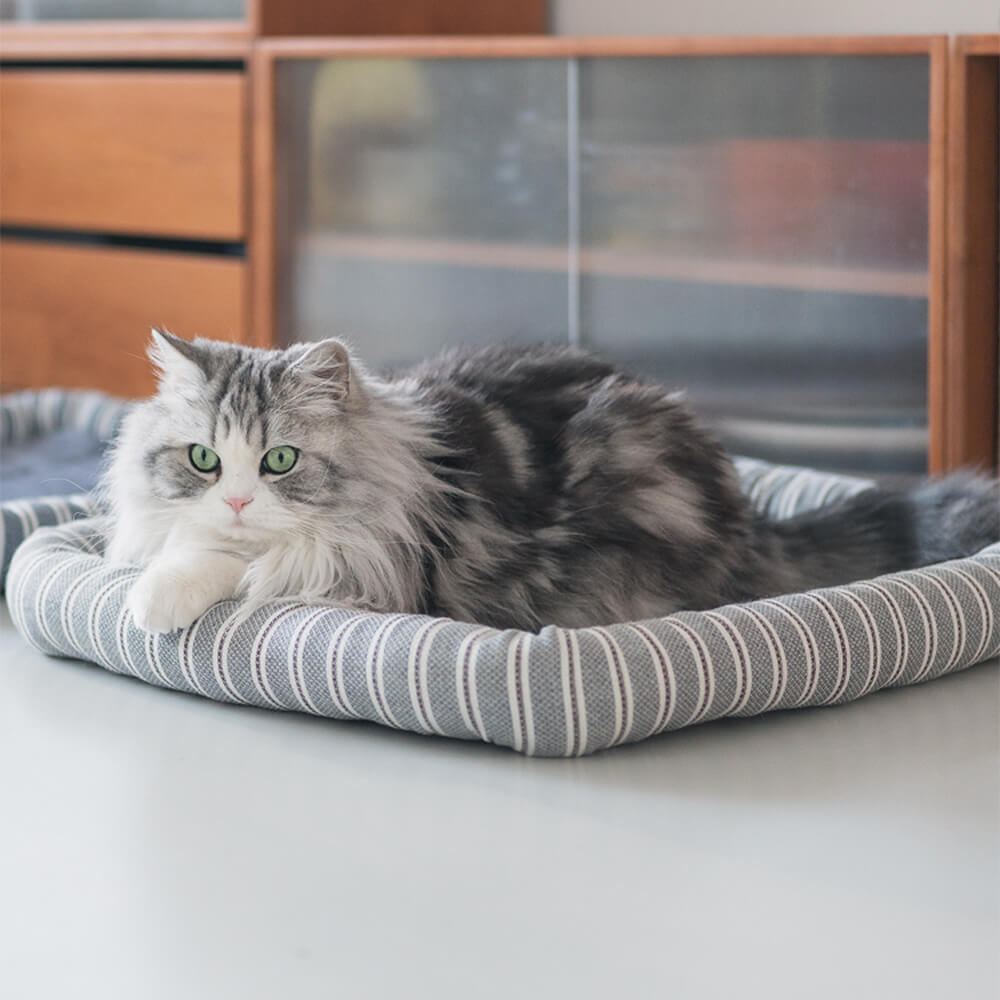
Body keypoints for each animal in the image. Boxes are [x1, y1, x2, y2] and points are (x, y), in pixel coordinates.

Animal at [103, 334, 1000, 632]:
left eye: (280, 461)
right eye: (205, 460)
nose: (238, 497)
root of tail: (750, 525)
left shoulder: (358, 565)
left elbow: (242, 561)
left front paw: (155, 604)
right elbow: (188, 541)